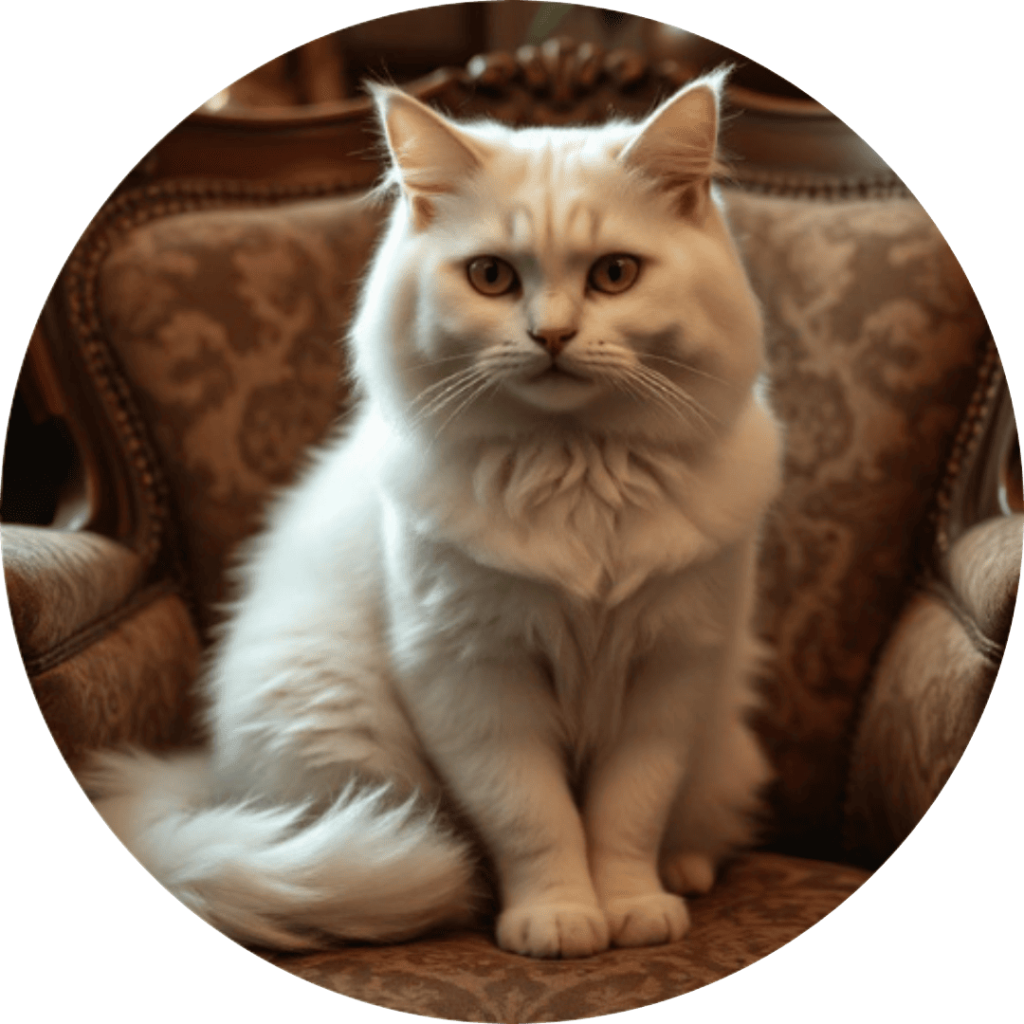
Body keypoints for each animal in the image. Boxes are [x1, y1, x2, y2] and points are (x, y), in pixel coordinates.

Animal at [83, 72, 782, 958]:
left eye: (615, 275)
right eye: (491, 278)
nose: (552, 335)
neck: (576, 469)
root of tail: (213, 778)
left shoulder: (671, 671)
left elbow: (627, 816)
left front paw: (631, 909)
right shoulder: (472, 674)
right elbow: (536, 819)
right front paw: (558, 919)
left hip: (721, 739)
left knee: (690, 821)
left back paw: (683, 871)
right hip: (331, 714)